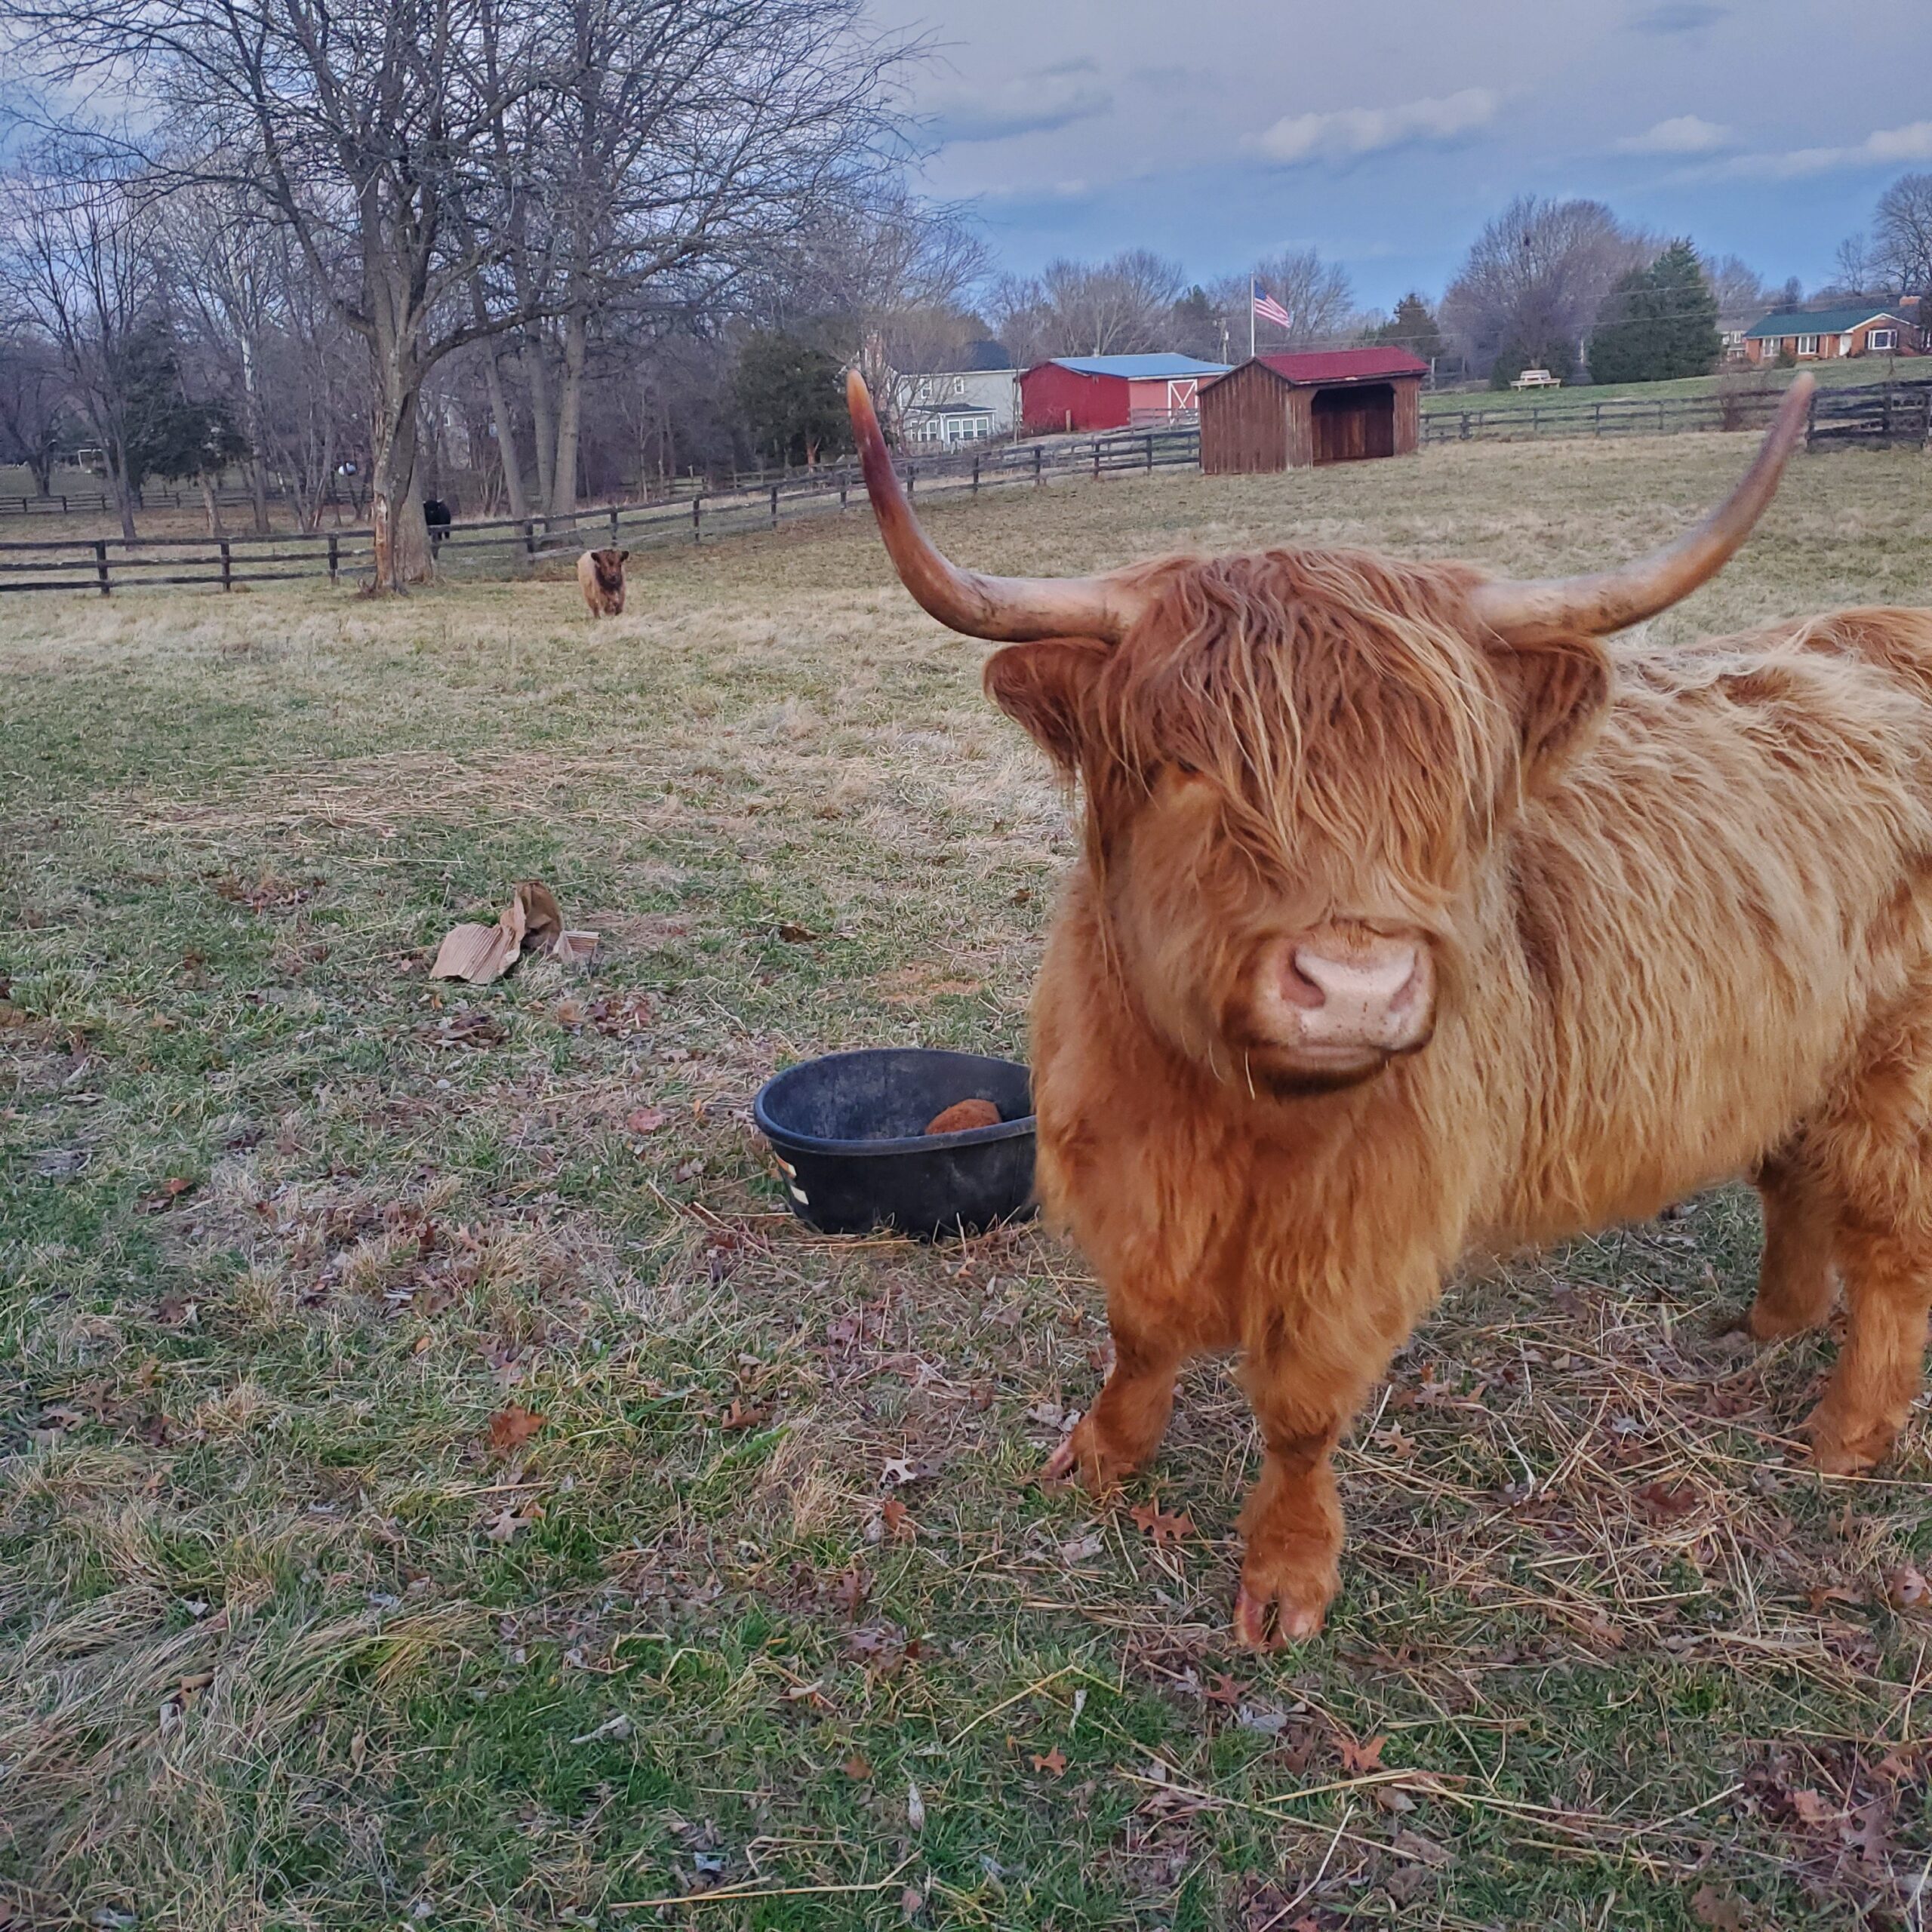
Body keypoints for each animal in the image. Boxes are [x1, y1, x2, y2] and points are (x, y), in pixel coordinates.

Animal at [844, 369, 1932, 1649]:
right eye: (1183, 764)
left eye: (1448, 778)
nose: (1357, 984)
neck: (1222, 1114)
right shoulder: (1121, 1175)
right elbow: (1140, 1333)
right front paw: (1100, 1457)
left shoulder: (1367, 1228)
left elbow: (1303, 1409)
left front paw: (1285, 1577)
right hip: (1795, 1049)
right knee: (1794, 1179)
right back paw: (1766, 1327)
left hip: (1895, 1078)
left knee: (1894, 1253)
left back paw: (1842, 1438)